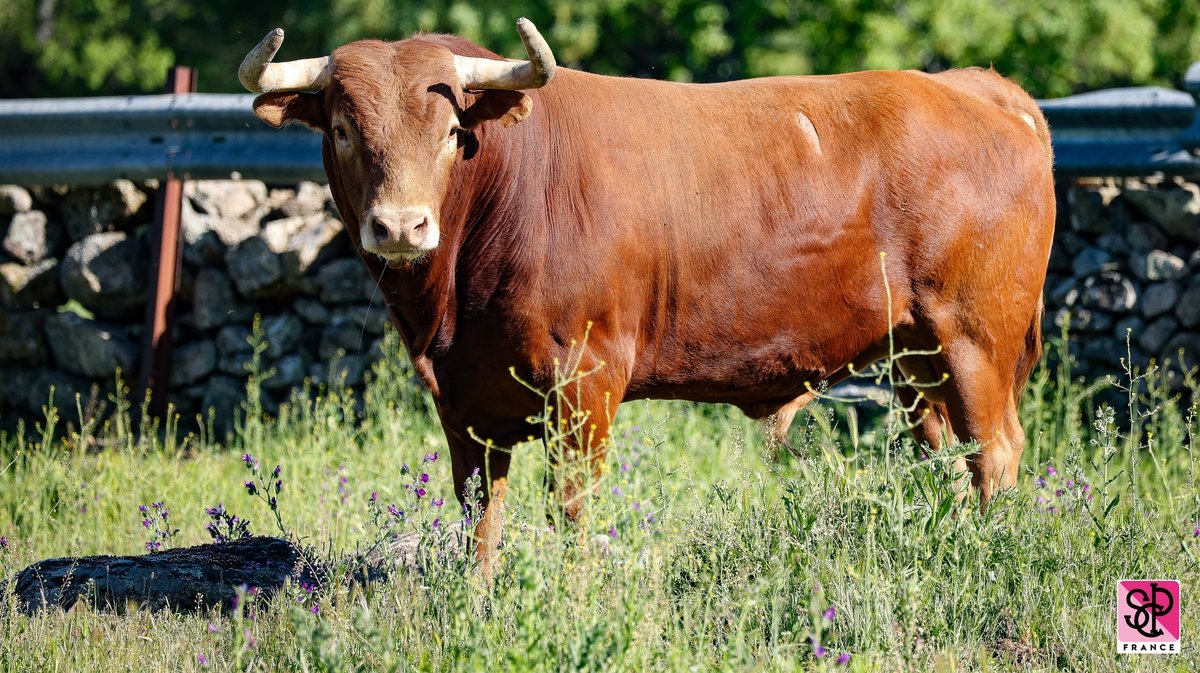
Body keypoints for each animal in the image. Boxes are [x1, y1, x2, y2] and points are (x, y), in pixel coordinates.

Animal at [238, 18, 1056, 566]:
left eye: (448, 131)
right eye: (343, 129)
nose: (401, 225)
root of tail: (975, 86)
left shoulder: (585, 380)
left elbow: (571, 508)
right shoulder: (464, 401)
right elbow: (481, 516)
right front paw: (480, 600)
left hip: (974, 338)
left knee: (994, 452)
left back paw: (991, 555)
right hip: (915, 354)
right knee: (946, 453)